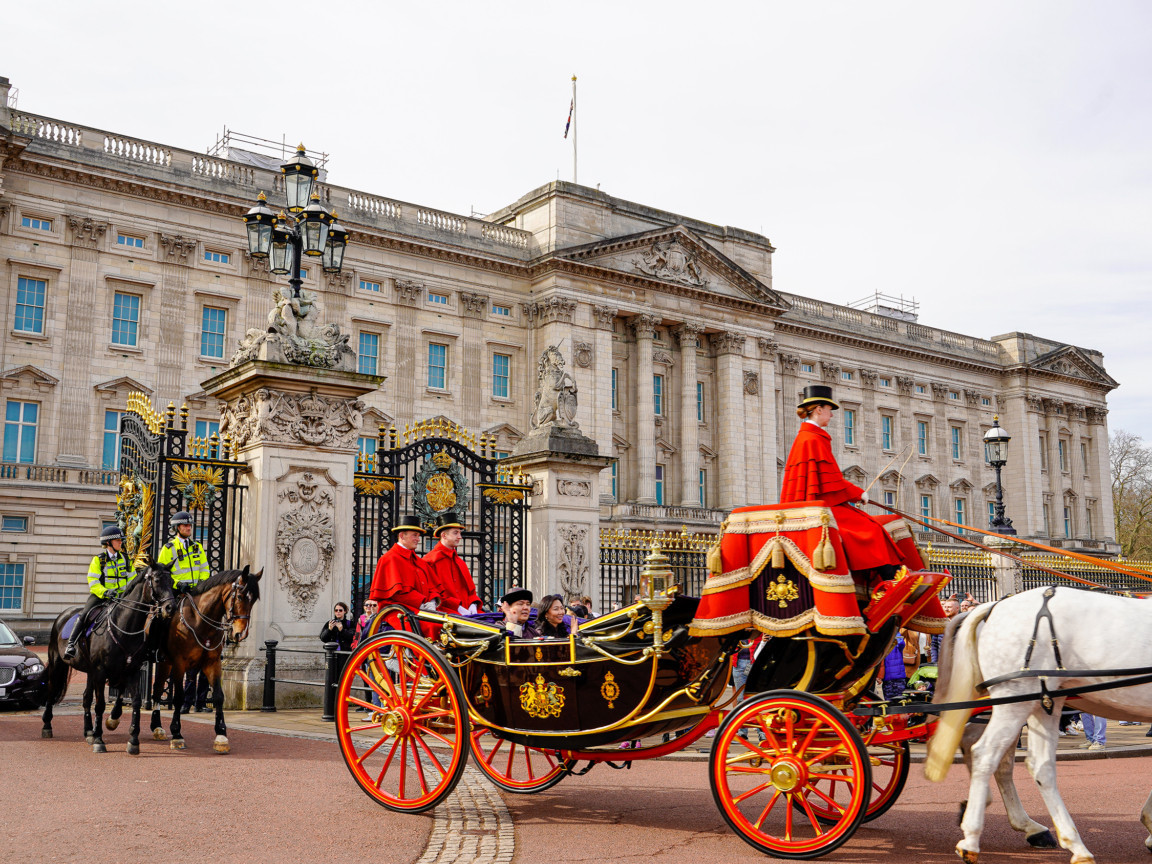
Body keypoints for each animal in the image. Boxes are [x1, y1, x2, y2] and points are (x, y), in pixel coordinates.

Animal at [40, 557, 176, 755]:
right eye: (157, 580)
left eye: (172, 581)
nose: (171, 608)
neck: (125, 627)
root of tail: (63, 614)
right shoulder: (100, 671)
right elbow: (100, 705)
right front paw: (99, 740)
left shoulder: (131, 671)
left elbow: (136, 702)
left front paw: (133, 740)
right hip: (58, 663)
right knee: (51, 691)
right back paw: (47, 726)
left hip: (89, 672)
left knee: (85, 698)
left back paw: (88, 731)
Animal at [147, 569, 260, 751]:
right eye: (240, 596)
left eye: (254, 599)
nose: (240, 634)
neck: (200, 621)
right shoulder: (180, 664)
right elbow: (179, 697)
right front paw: (177, 734)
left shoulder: (213, 663)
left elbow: (219, 696)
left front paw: (221, 735)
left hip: (166, 662)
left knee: (157, 688)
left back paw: (157, 727)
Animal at [921, 589, 1152, 864]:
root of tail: (993, 605)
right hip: (1016, 699)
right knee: (985, 753)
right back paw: (972, 838)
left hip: (1043, 701)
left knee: (1036, 765)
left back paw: (1068, 842)